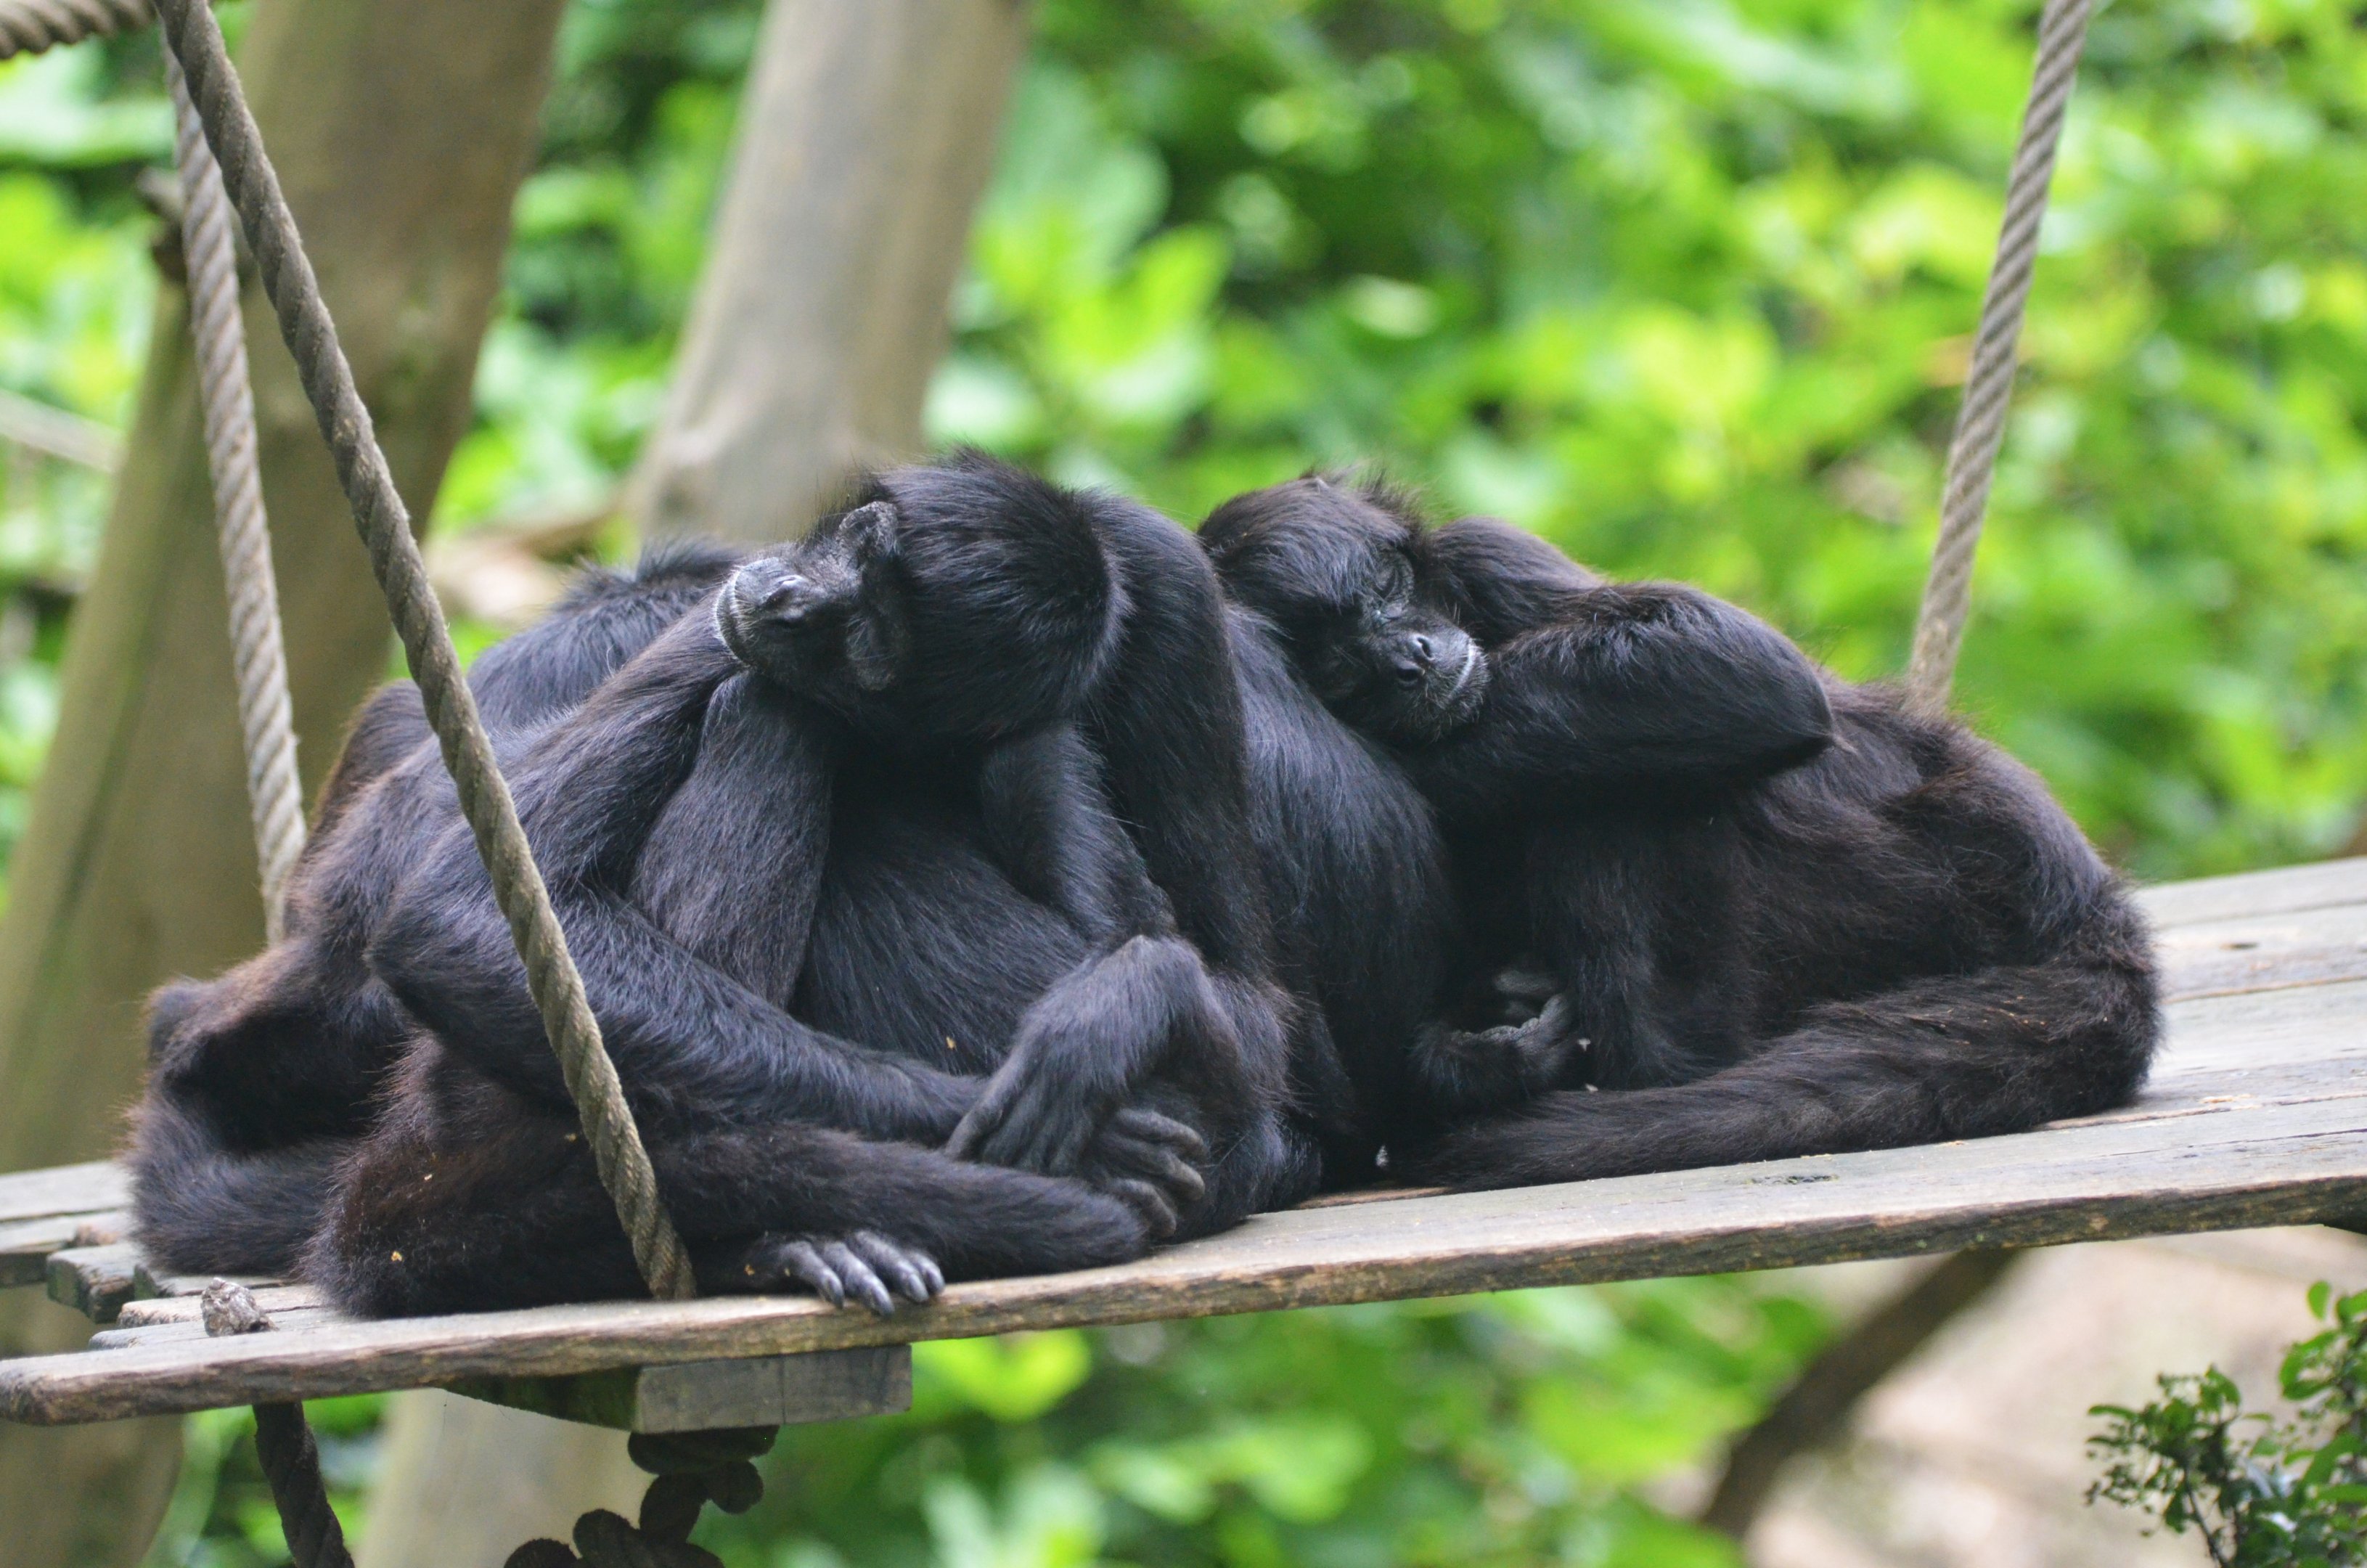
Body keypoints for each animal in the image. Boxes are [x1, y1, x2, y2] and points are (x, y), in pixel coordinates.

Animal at [307, 454, 1314, 1316]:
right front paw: (1089, 1134)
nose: (788, 598)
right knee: (772, 710)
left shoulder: (1172, 587)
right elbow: (454, 920)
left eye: (868, 641)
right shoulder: (719, 624)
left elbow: (1248, 1010)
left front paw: (1115, 1012)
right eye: (858, 545)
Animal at [1199, 475, 2158, 1187]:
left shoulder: (1486, 549)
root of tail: (2075, 893)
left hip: (1914, 865)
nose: (1410, 658)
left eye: (1389, 592)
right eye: (1338, 661)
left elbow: (1739, 666)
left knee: (1619, 781)